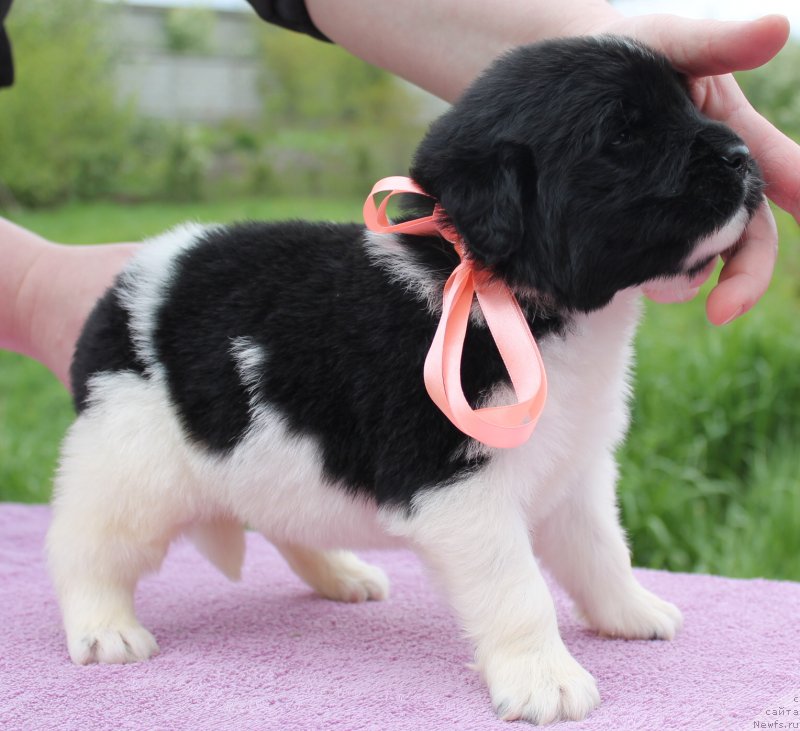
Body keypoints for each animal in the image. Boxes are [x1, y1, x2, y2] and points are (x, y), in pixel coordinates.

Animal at [48, 35, 764, 728]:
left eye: (688, 104)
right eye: (624, 134)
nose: (742, 154)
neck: (502, 289)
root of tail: (121, 294)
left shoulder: (575, 469)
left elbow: (602, 550)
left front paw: (631, 613)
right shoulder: (460, 487)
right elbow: (519, 589)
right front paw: (545, 680)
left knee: (283, 521)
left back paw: (341, 575)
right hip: (131, 463)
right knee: (85, 546)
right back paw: (105, 629)